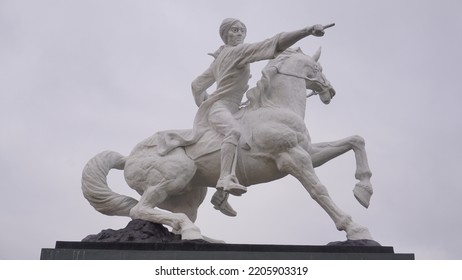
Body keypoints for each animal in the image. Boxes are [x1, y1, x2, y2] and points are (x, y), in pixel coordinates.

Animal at [81, 47, 374, 242]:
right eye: (317, 69)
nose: (330, 91)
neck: (274, 108)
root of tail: (127, 158)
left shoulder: (310, 153)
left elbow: (355, 140)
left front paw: (363, 191)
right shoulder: (291, 157)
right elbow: (319, 190)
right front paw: (355, 228)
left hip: (190, 194)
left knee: (165, 216)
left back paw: (205, 235)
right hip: (173, 178)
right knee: (138, 209)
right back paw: (193, 230)